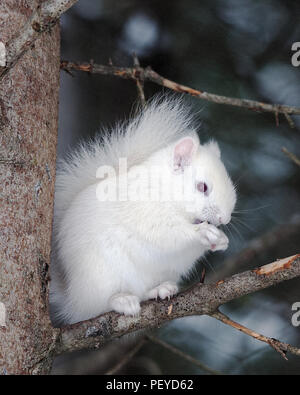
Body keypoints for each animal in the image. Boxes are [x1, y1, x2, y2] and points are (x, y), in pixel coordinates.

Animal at [49, 96, 237, 328]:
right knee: (100, 305)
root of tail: (73, 298)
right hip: (101, 275)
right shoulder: (145, 213)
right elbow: (168, 234)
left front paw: (220, 241)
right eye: (202, 187)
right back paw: (122, 300)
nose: (224, 218)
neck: (165, 191)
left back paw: (160, 289)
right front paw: (203, 232)